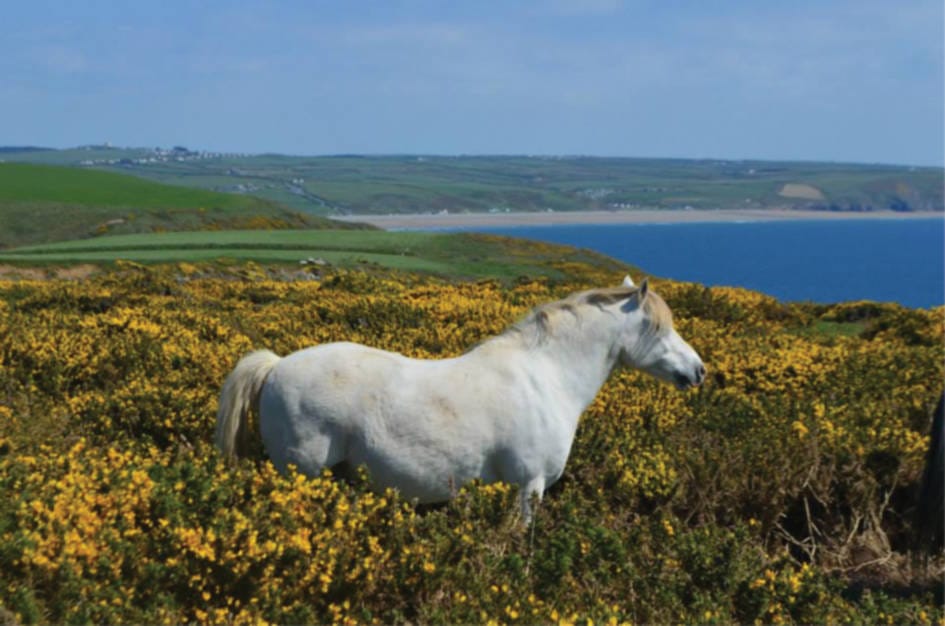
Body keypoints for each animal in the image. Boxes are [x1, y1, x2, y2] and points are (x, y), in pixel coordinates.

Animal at [216, 275, 706, 519]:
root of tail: (276, 365)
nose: (698, 371)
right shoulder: (529, 486)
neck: (547, 377)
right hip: (302, 470)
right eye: (657, 327)